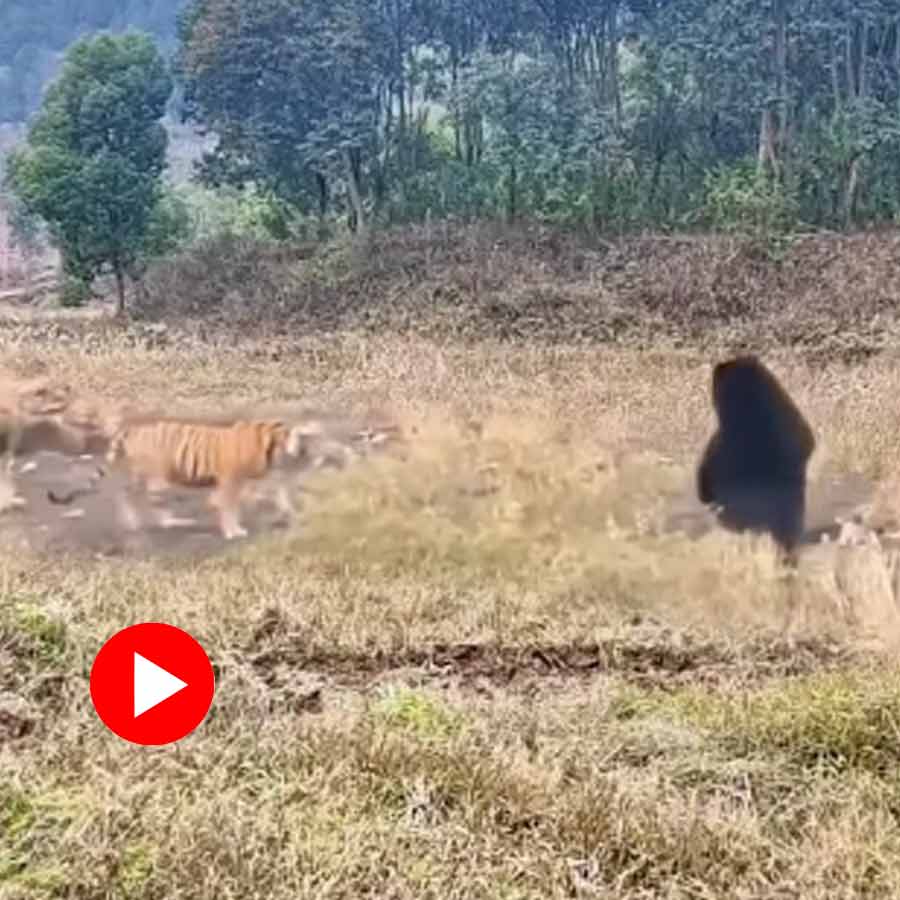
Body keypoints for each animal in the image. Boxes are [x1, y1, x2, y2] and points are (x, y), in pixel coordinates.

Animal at [105, 416, 319, 540]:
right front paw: (233, 531)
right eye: (300, 439)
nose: (305, 453)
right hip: (153, 476)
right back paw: (144, 521)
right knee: (135, 496)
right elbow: (229, 508)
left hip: (144, 476)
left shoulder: (249, 482)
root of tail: (132, 429)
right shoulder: (231, 480)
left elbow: (272, 497)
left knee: (132, 495)